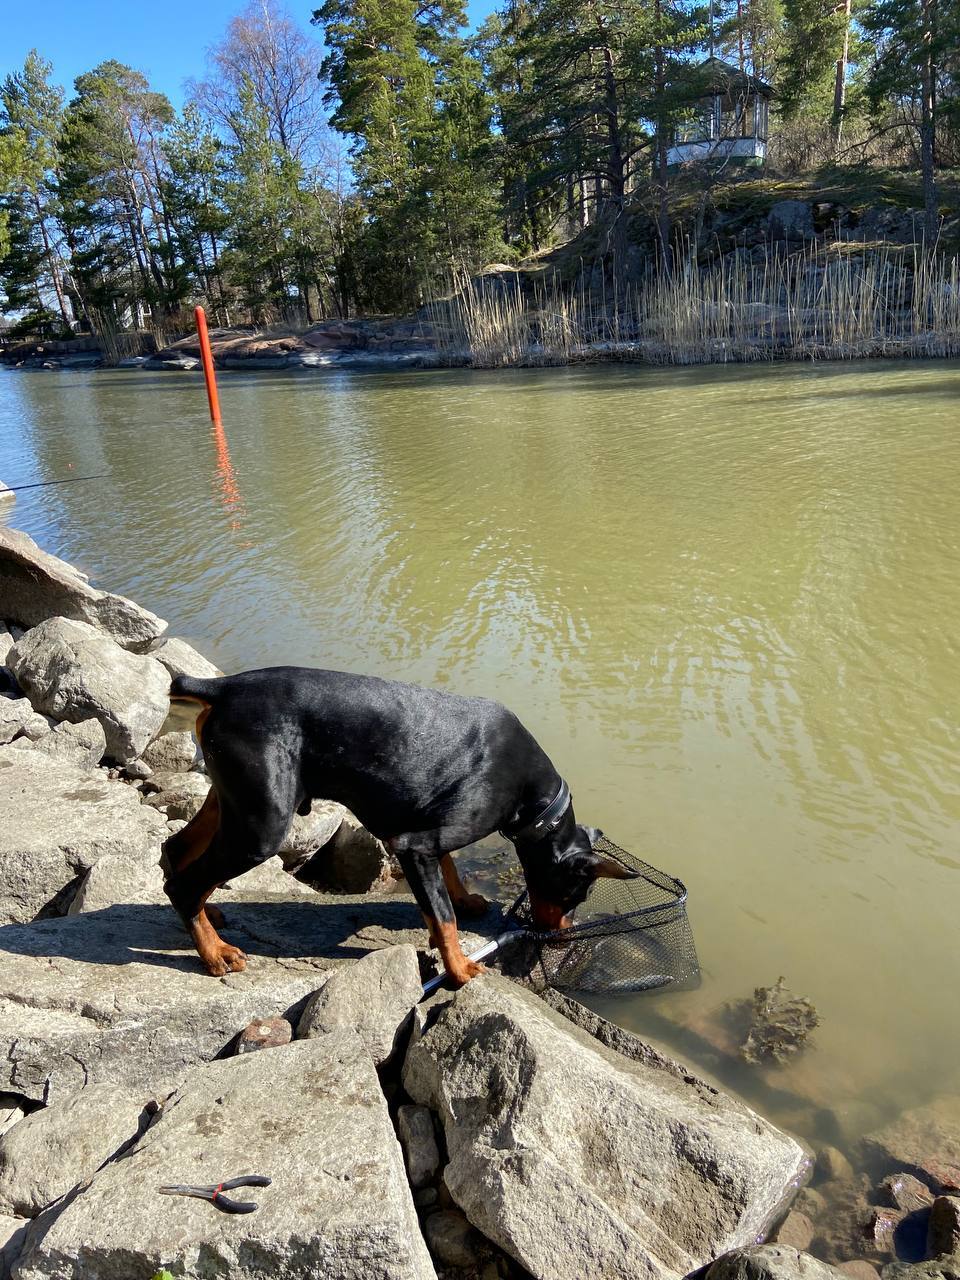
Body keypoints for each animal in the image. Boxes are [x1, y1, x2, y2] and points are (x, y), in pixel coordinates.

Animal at [161, 665, 634, 983]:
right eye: (577, 894)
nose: (562, 937)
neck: (535, 804)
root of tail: (221, 686)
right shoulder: (413, 844)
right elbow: (442, 916)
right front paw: (459, 968)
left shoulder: (427, 832)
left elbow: (448, 876)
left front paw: (465, 899)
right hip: (263, 824)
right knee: (184, 883)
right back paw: (214, 953)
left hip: (231, 801)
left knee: (176, 851)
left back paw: (207, 913)